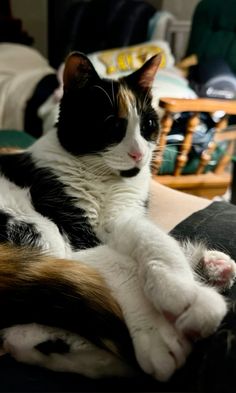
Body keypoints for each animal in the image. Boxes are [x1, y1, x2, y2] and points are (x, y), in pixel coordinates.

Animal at [0, 52, 234, 380]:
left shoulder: (125, 215)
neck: (104, 179)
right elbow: (121, 266)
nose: (139, 154)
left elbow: (154, 238)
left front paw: (191, 276)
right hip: (37, 230)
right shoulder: (75, 234)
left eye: (148, 124)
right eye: (112, 125)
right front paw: (172, 318)